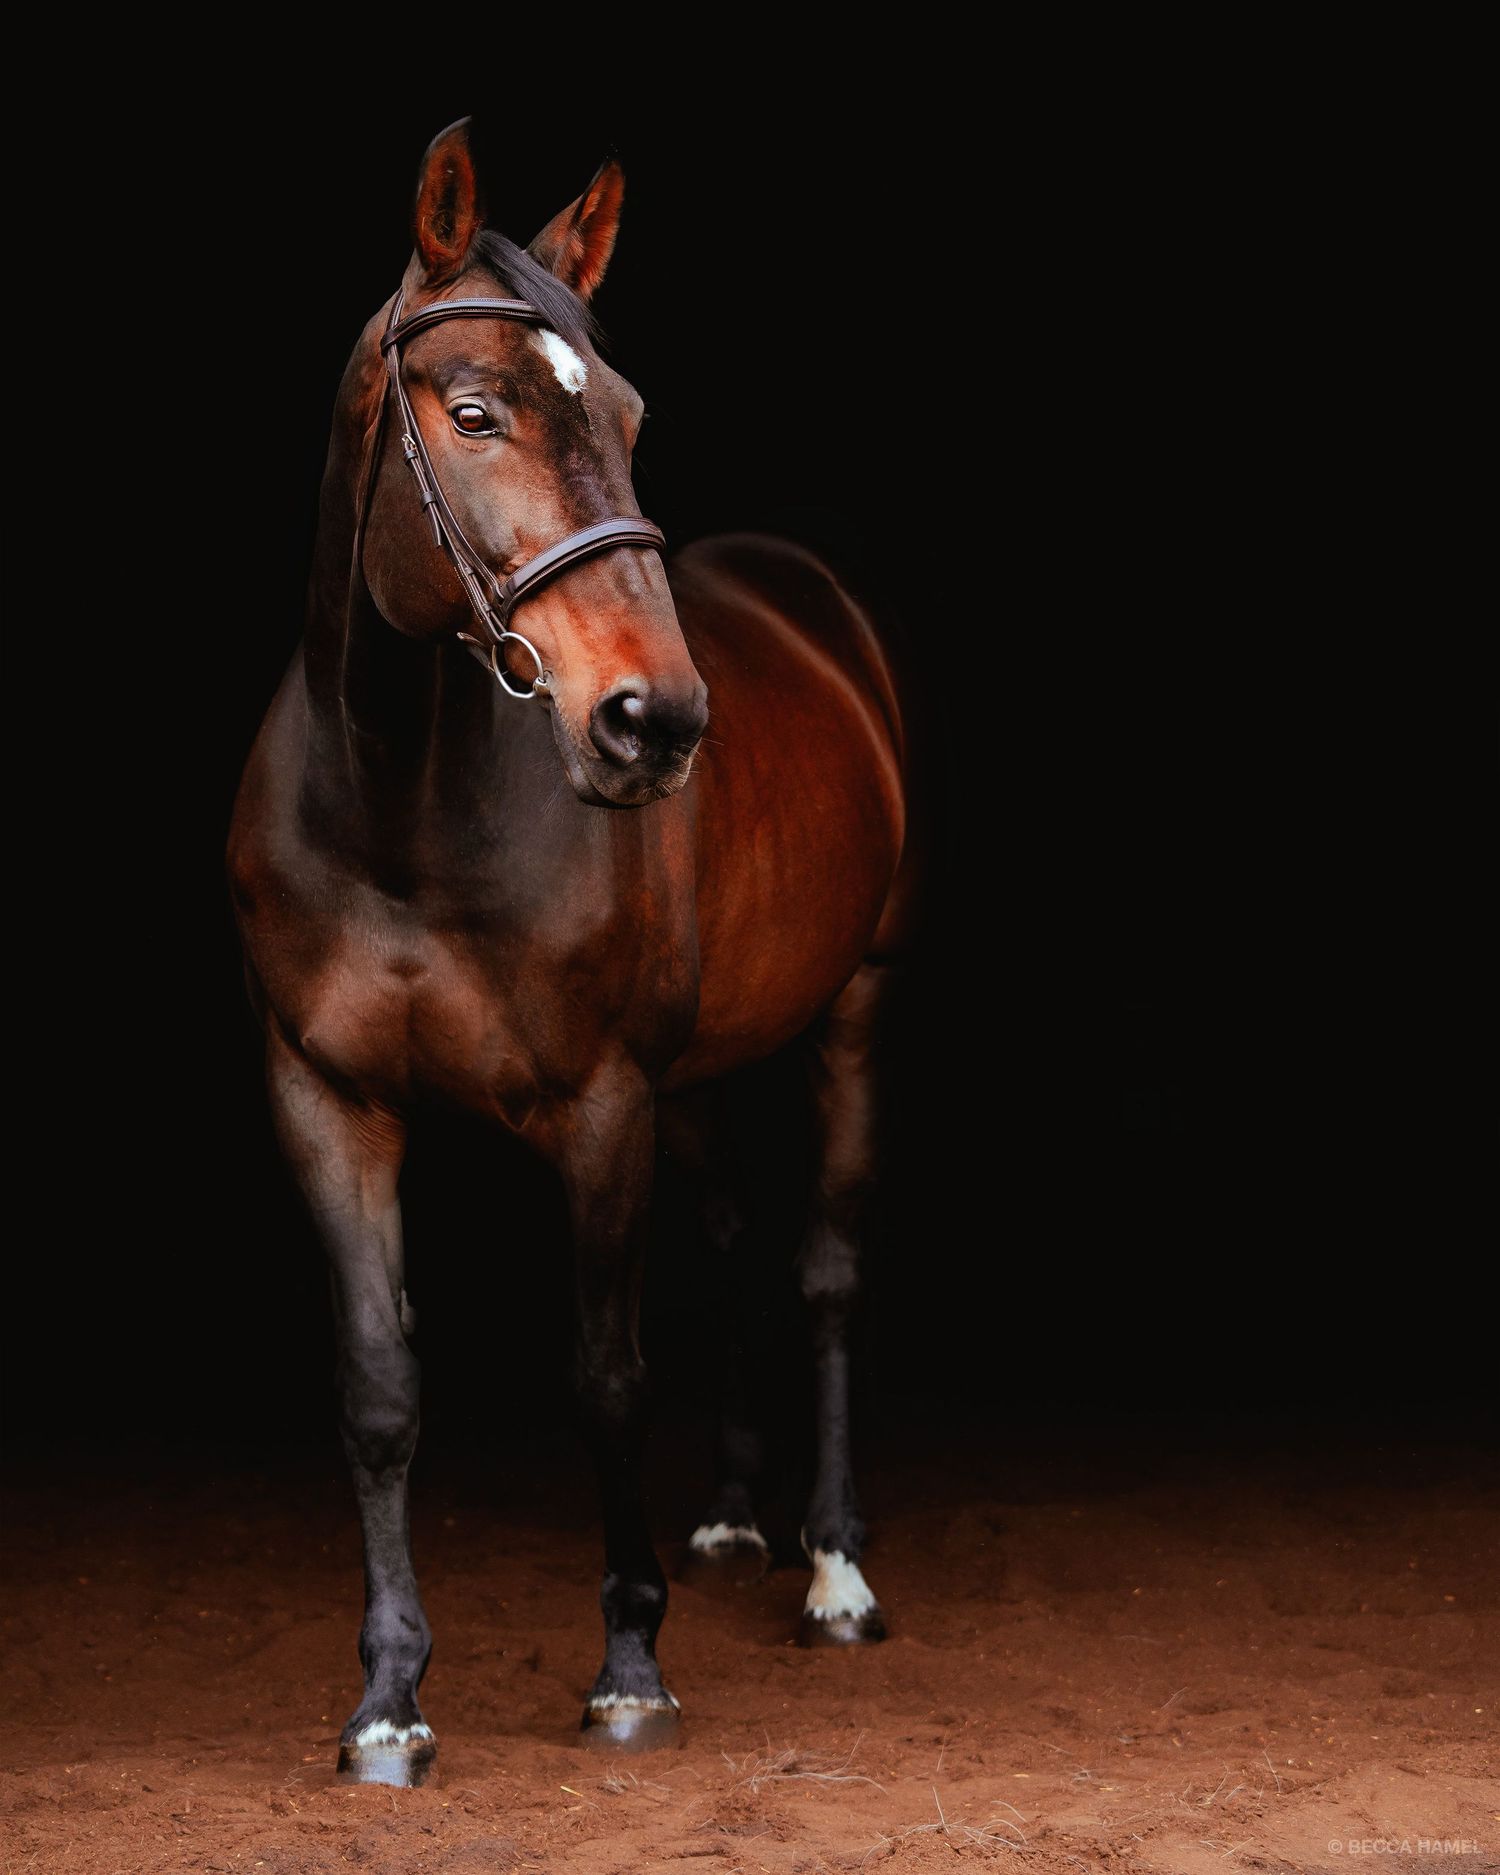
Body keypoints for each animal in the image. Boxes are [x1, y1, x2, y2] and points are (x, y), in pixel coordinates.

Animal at [227, 118, 917, 1787]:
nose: (653, 721)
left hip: (853, 1009)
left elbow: (607, 1372)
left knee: (824, 1267)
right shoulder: (327, 1099)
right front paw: (388, 1700)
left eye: (627, 409)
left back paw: (834, 1566)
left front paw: (629, 1667)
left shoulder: (599, 1103)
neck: (396, 807)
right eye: (472, 411)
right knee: (732, 1233)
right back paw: (733, 1518)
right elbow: (379, 1386)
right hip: (702, 1065)